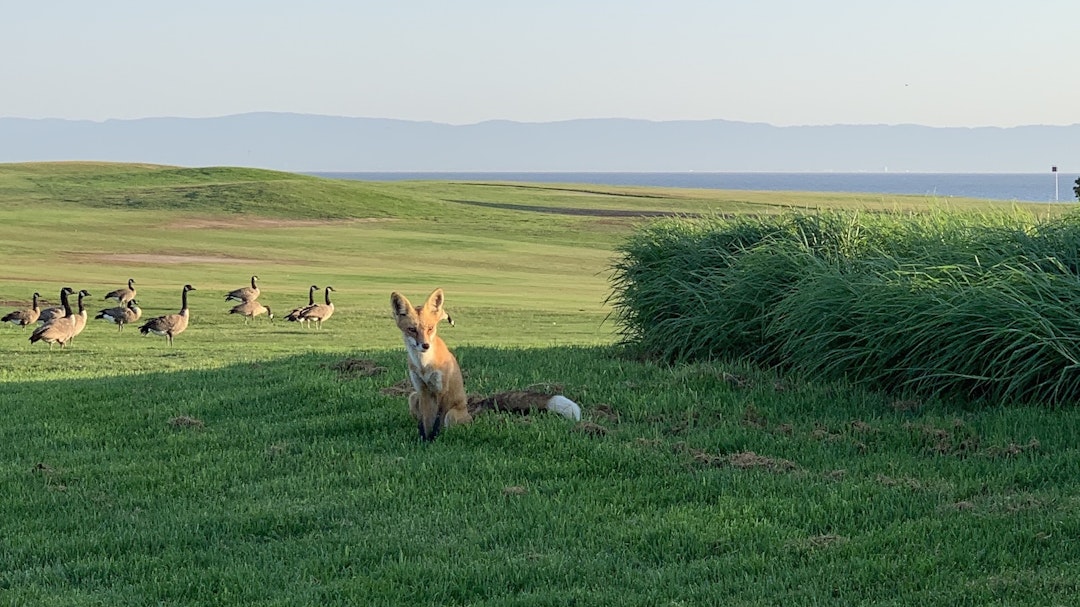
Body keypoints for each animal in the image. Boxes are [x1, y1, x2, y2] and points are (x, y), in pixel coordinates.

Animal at [390, 288, 581, 441]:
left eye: (430, 328)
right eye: (412, 330)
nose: (425, 345)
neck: (424, 365)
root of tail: (468, 409)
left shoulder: (442, 390)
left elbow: (436, 422)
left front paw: (432, 441)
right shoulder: (422, 390)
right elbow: (424, 423)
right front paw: (423, 440)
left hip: (452, 414)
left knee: (449, 424)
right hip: (412, 398)